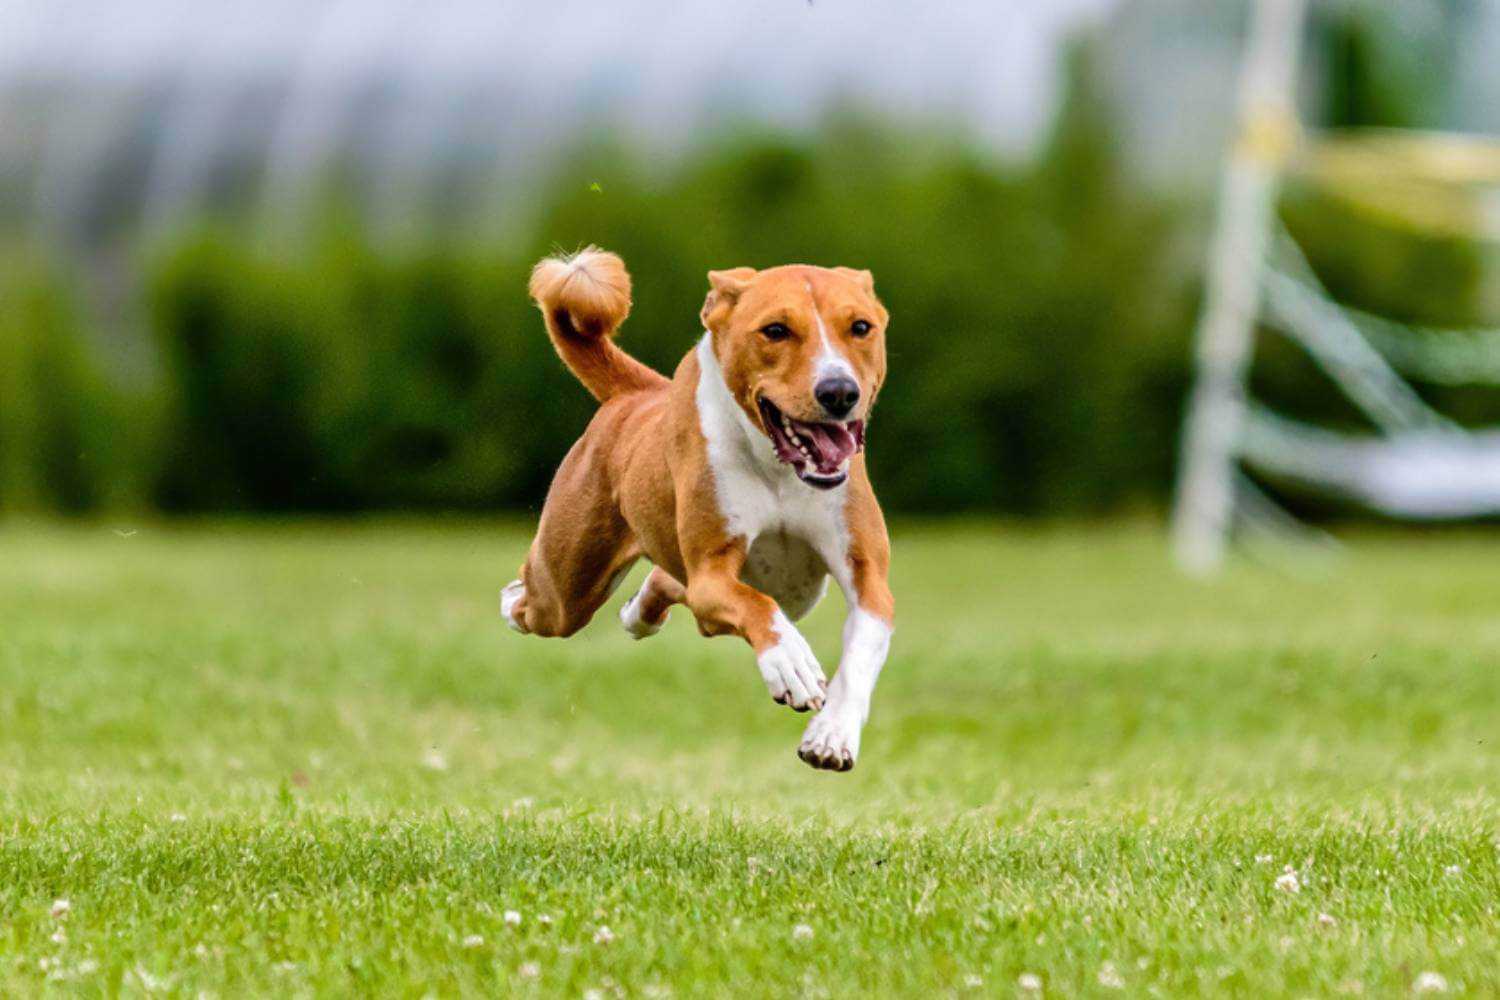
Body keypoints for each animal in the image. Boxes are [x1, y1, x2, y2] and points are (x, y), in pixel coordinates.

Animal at [504, 245, 894, 773]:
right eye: (775, 330)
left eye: (860, 327)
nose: (838, 391)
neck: (780, 469)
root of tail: (637, 396)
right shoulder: (712, 571)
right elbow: (755, 603)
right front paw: (791, 664)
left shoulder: (867, 573)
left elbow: (860, 651)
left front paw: (831, 736)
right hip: (565, 588)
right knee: (532, 596)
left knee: (671, 586)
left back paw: (640, 613)